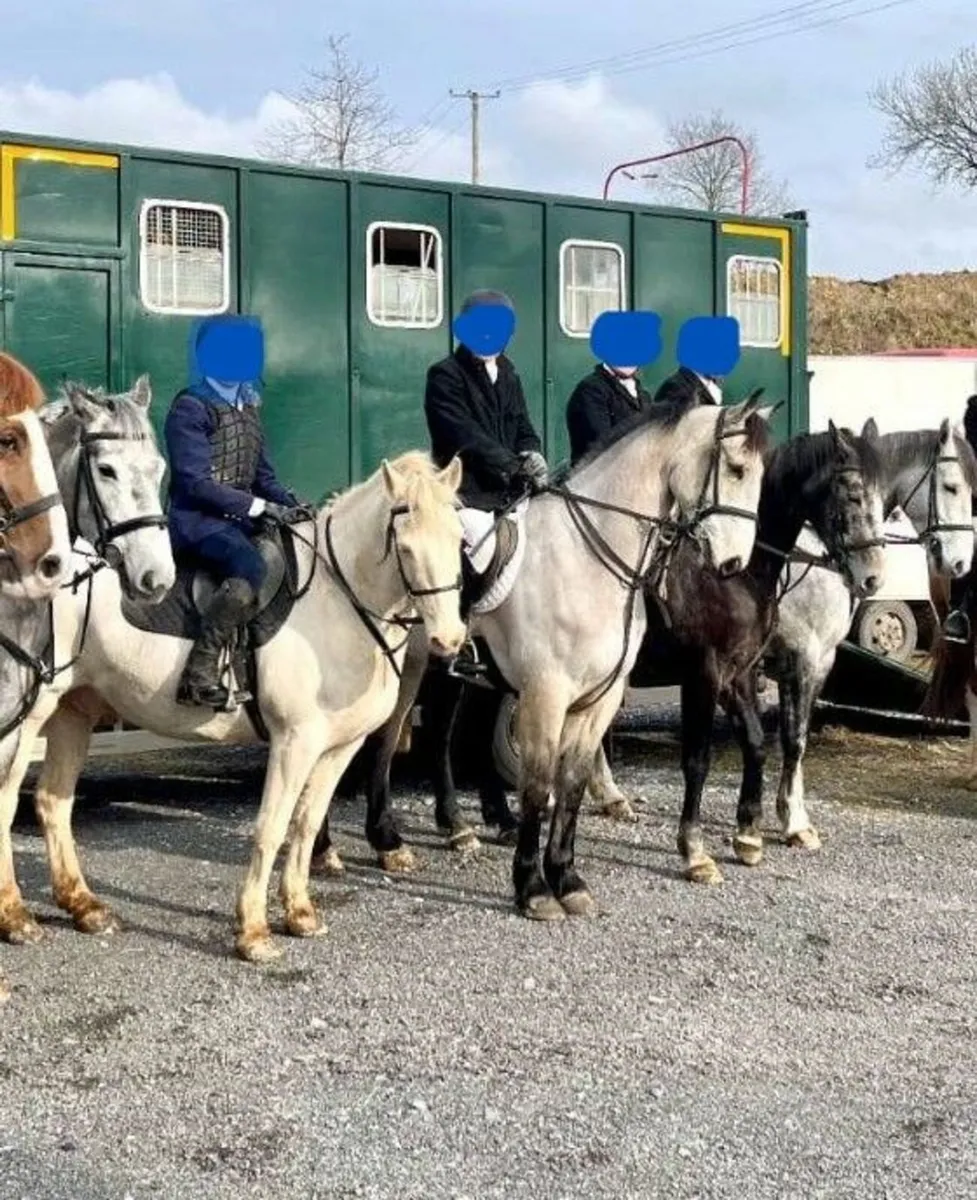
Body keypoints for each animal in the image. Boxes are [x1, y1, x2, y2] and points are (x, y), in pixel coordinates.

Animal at [0, 450, 467, 965]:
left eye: (459, 538)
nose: (449, 640)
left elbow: (306, 824)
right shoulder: (293, 742)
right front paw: (254, 931)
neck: (337, 602)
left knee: (52, 802)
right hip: (29, 716)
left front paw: (300, 913)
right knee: (7, 804)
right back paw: (16, 918)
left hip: (73, 711)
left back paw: (85, 906)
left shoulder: (339, 747)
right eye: (404, 547)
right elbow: (272, 827)